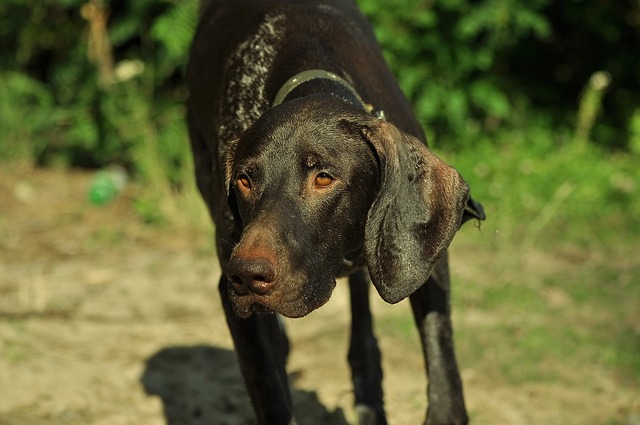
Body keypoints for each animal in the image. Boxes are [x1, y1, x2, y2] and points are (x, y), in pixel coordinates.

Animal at [185, 1, 484, 422]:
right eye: (244, 181)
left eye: (324, 178)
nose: (247, 275)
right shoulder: (236, 305)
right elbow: (271, 394)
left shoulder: (424, 260)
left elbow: (443, 369)